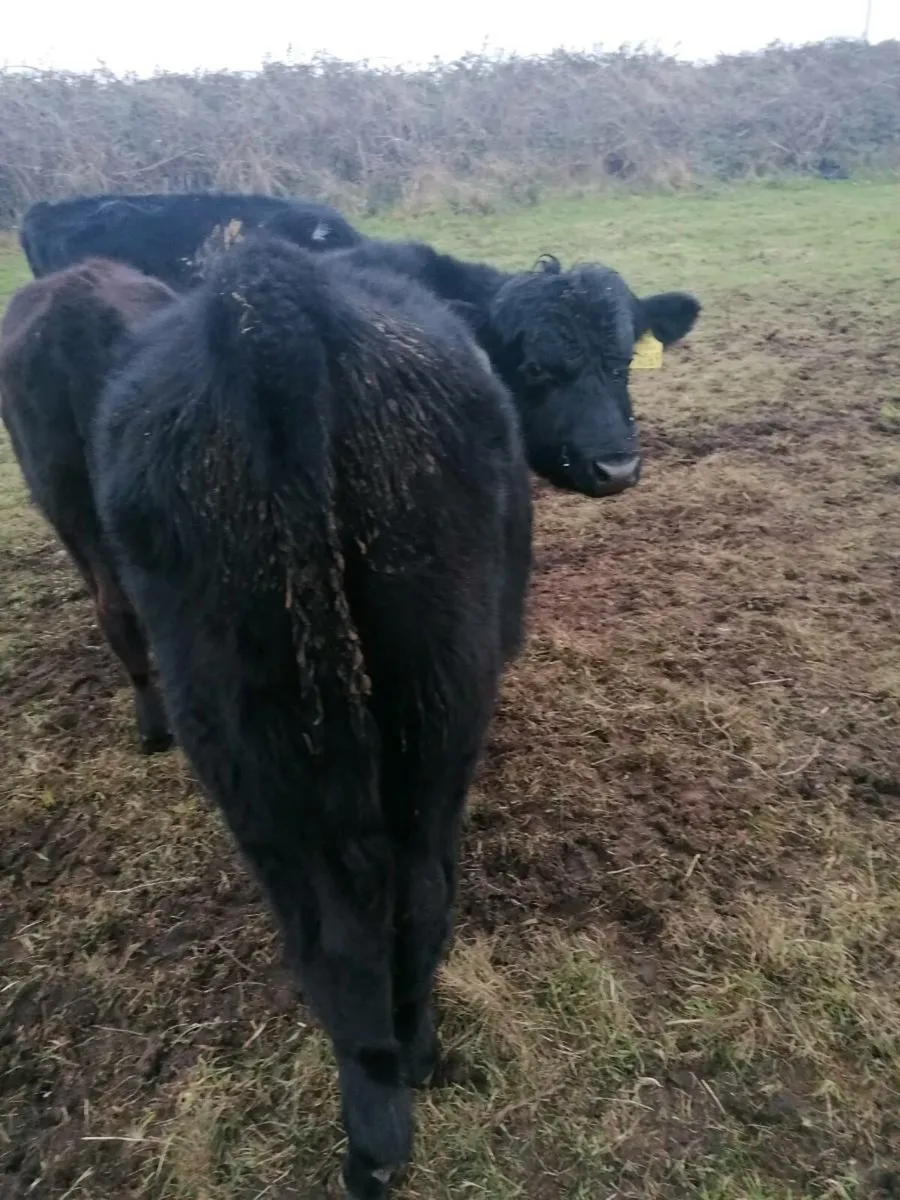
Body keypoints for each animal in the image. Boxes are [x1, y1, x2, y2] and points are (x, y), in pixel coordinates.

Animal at [93, 231, 534, 1197]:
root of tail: (267, 301)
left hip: (260, 735)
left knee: (350, 925)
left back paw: (380, 1127)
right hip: (420, 708)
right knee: (410, 898)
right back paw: (403, 1088)